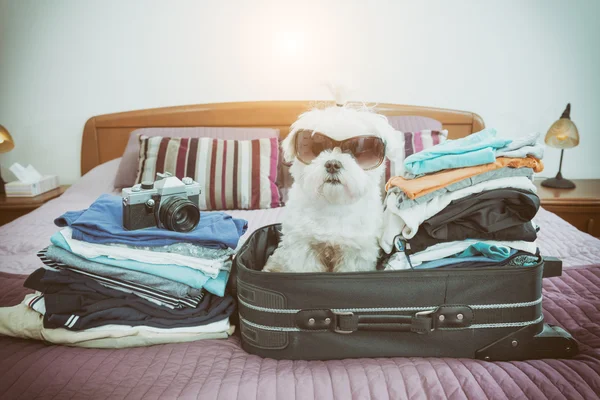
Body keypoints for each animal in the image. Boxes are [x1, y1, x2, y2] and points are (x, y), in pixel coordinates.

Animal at [264, 103, 398, 274]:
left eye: (357, 149)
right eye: (316, 146)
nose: (333, 164)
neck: (333, 203)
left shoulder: (355, 252)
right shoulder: (303, 247)